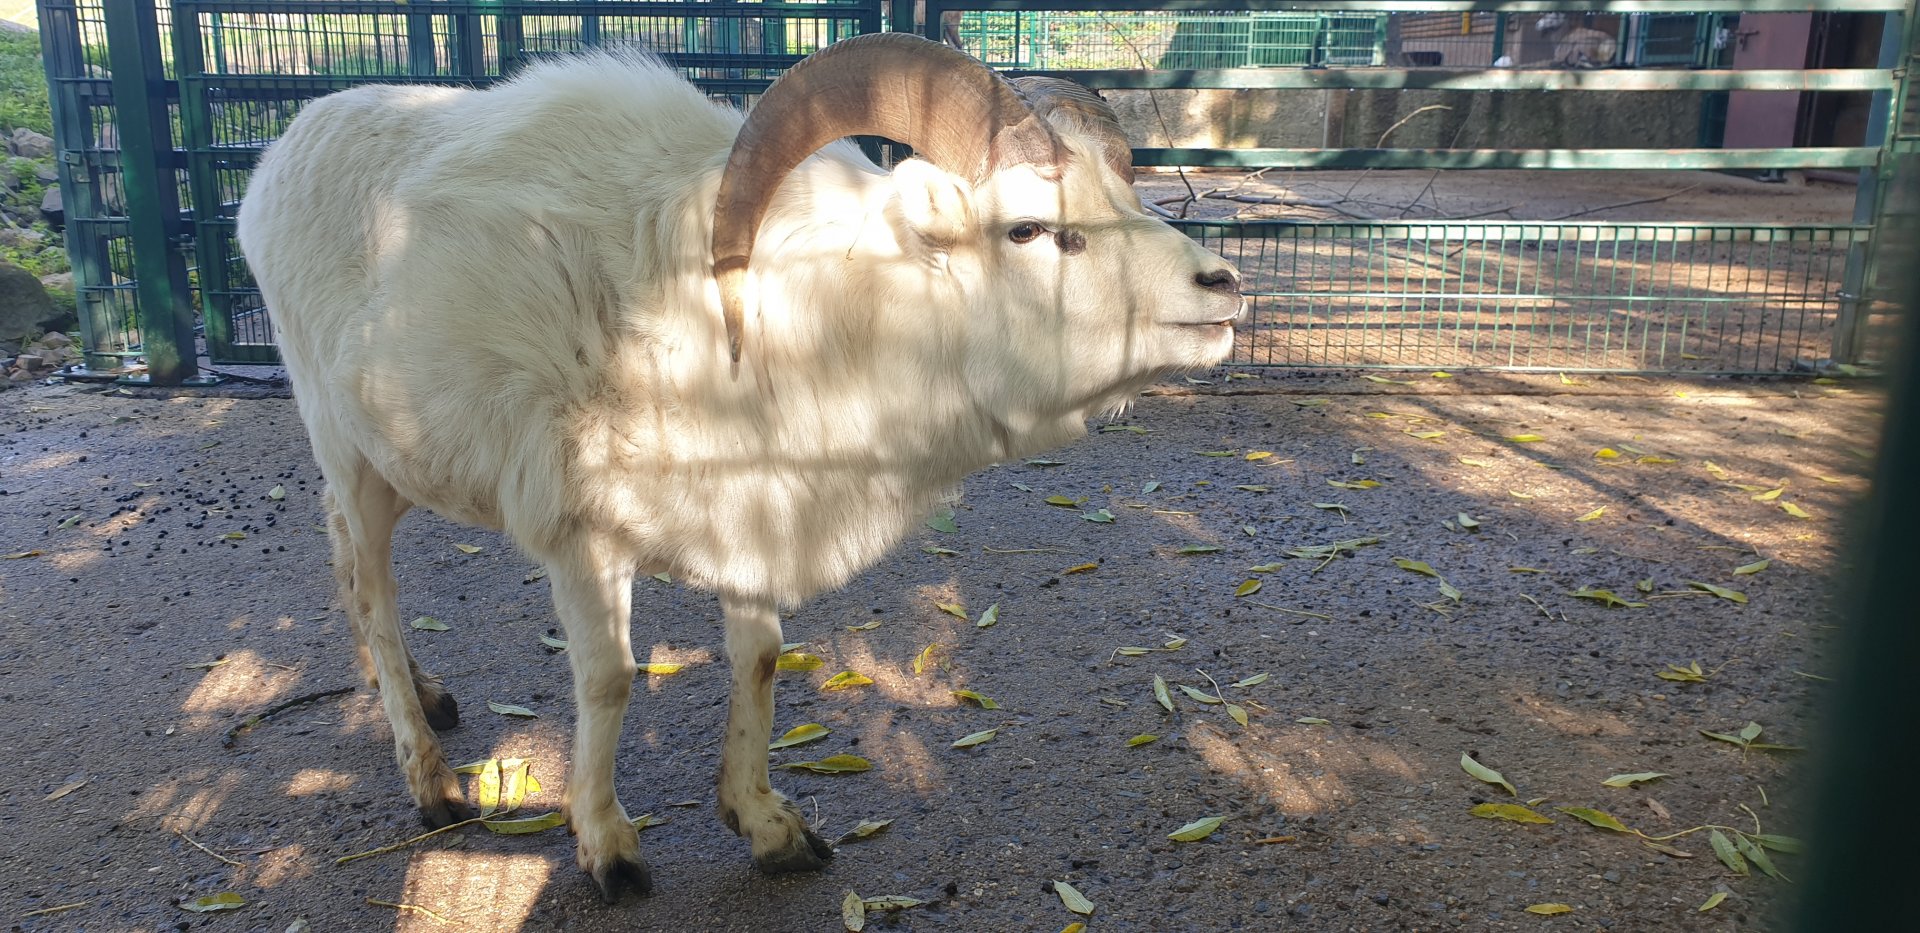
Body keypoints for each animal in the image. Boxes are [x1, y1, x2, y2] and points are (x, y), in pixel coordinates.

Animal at [236, 33, 1241, 903]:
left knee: (347, 566)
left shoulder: (758, 522)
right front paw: (609, 851)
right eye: (1029, 228)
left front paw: (769, 829)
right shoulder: (581, 538)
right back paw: (431, 779)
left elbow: (757, 659)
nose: (1223, 288)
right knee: (370, 583)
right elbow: (610, 679)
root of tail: (283, 151)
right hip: (347, 451)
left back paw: (426, 698)